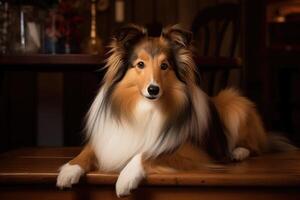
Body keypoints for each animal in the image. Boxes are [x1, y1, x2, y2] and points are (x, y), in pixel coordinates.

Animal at [55, 24, 296, 197]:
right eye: (140, 64)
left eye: (165, 66)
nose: (153, 89)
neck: (147, 108)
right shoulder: (107, 137)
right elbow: (87, 151)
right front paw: (69, 170)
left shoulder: (191, 150)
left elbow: (148, 152)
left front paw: (126, 177)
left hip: (234, 102)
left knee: (254, 146)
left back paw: (237, 152)